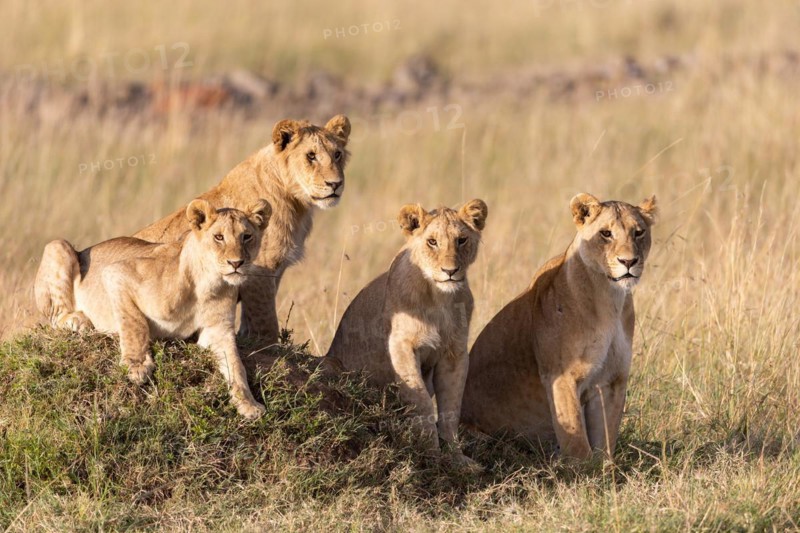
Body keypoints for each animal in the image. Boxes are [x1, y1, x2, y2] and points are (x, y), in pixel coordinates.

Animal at [34, 199, 272, 419]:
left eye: (247, 236)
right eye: (219, 237)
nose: (236, 263)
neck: (209, 284)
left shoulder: (218, 330)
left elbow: (236, 365)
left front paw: (248, 404)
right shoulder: (116, 273)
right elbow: (134, 323)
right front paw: (137, 366)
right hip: (58, 246)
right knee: (55, 317)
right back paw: (78, 320)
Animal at [134, 115, 351, 342]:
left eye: (337, 154)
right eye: (311, 156)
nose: (335, 184)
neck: (296, 202)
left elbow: (250, 319)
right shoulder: (261, 268)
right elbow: (266, 320)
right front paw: (269, 345)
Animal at [326, 199, 488, 468]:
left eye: (462, 240)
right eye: (432, 242)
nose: (450, 271)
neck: (439, 297)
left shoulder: (455, 353)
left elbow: (451, 408)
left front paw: (457, 459)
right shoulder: (401, 345)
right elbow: (420, 399)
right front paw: (431, 453)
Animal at [461, 193, 658, 461]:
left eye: (639, 232)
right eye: (606, 234)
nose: (629, 261)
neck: (610, 299)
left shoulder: (612, 380)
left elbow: (606, 437)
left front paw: (606, 467)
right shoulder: (561, 377)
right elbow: (575, 437)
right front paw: (583, 470)